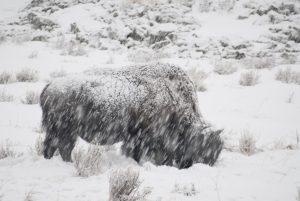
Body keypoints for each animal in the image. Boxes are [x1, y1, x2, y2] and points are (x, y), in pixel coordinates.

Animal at [39, 62, 223, 168]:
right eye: (206, 147)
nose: (205, 165)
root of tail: (50, 86)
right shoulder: (140, 139)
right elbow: (135, 153)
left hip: (62, 132)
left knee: (54, 147)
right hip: (64, 132)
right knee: (61, 148)